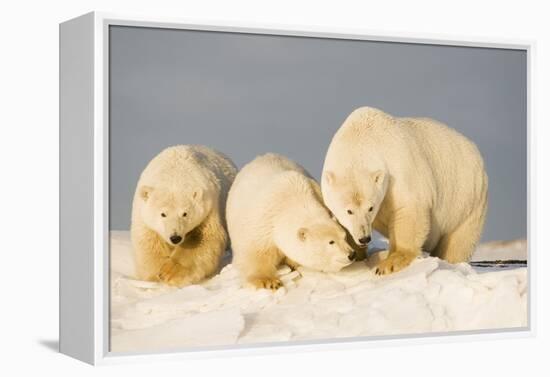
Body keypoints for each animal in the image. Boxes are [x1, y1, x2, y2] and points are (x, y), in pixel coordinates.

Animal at [134, 145, 239, 286]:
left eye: (185, 213)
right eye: (163, 214)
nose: (175, 238)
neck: (174, 174)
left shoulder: (208, 208)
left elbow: (204, 238)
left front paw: (170, 273)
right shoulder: (143, 215)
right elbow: (149, 242)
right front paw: (156, 275)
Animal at [227, 152, 358, 288]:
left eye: (344, 237)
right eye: (331, 242)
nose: (351, 254)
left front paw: (293, 263)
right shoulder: (261, 224)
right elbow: (255, 254)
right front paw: (268, 281)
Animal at [322, 106, 490, 274]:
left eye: (371, 208)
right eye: (349, 211)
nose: (364, 238)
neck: (360, 138)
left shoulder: (399, 169)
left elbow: (409, 210)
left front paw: (389, 263)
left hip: (465, 200)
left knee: (458, 241)